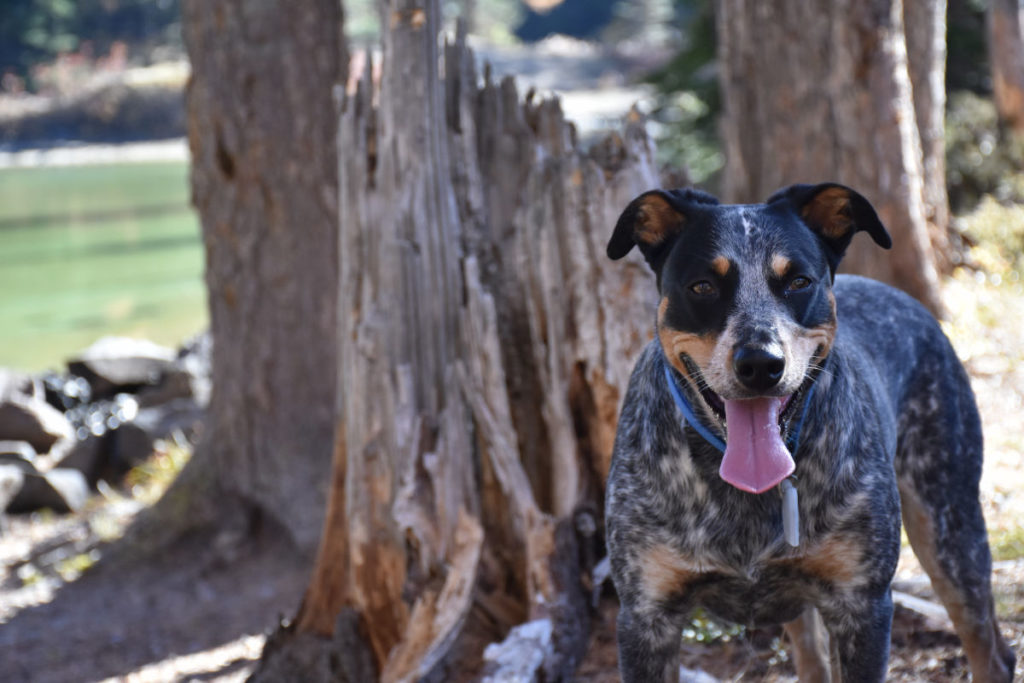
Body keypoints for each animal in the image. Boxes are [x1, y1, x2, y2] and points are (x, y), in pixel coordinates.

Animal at [602, 183, 1011, 683]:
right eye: (702, 286)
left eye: (798, 282)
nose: (761, 363)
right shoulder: (646, 616)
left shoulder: (861, 606)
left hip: (950, 528)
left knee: (990, 650)